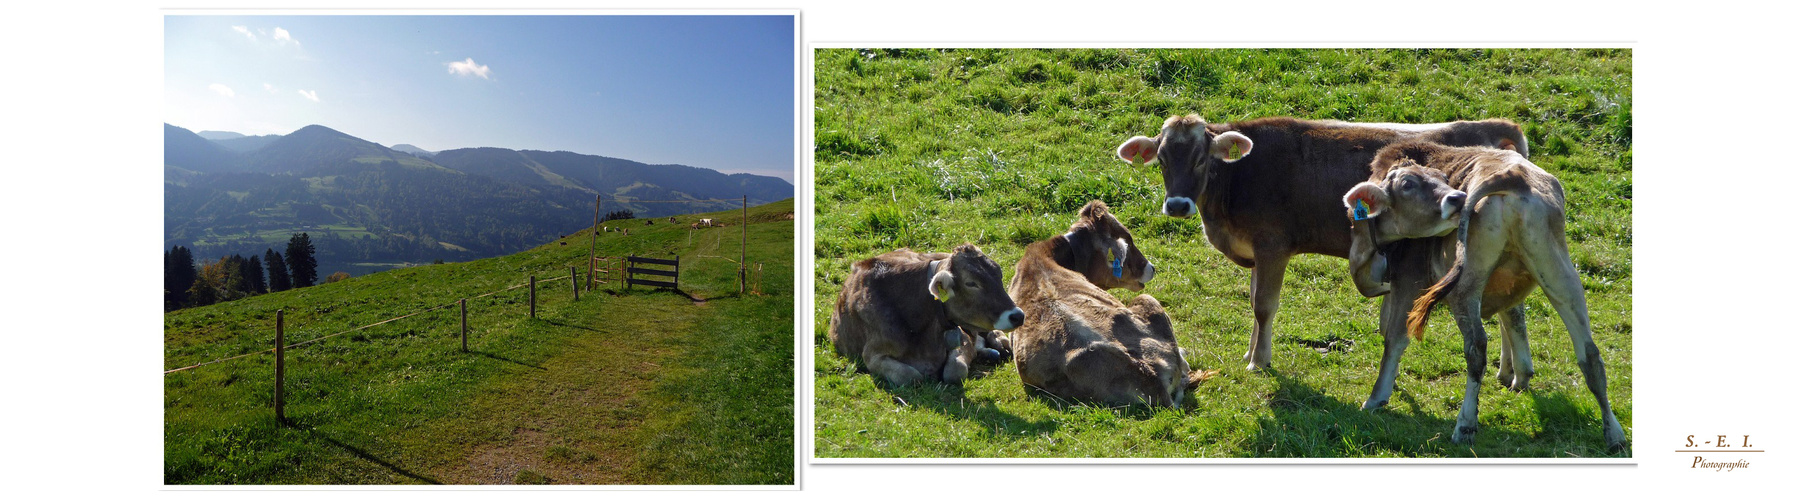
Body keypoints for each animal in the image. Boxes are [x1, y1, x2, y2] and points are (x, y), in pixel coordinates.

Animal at [825, 245, 1026, 385]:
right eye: (971, 283)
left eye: (999, 275)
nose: (1017, 315)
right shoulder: (872, 355)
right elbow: (911, 376)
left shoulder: (962, 337)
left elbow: (955, 371)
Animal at [1105, 113, 1529, 392]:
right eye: (1161, 160)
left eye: (1200, 158)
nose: (1177, 204)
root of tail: (1498, 125)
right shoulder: (1258, 252)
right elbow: (1254, 302)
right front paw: (1251, 353)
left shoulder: (1273, 245)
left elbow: (1264, 305)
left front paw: (1259, 362)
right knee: (1510, 307)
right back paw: (1509, 372)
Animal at [1349, 142, 1629, 455]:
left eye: (1407, 184)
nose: (1456, 198)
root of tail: (1511, 175)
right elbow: (1514, 317)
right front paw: (1516, 373)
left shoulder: (1409, 279)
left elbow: (1394, 336)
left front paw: (1377, 397)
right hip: (1559, 270)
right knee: (1590, 354)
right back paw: (1615, 435)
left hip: (1466, 284)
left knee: (1476, 348)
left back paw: (1465, 425)